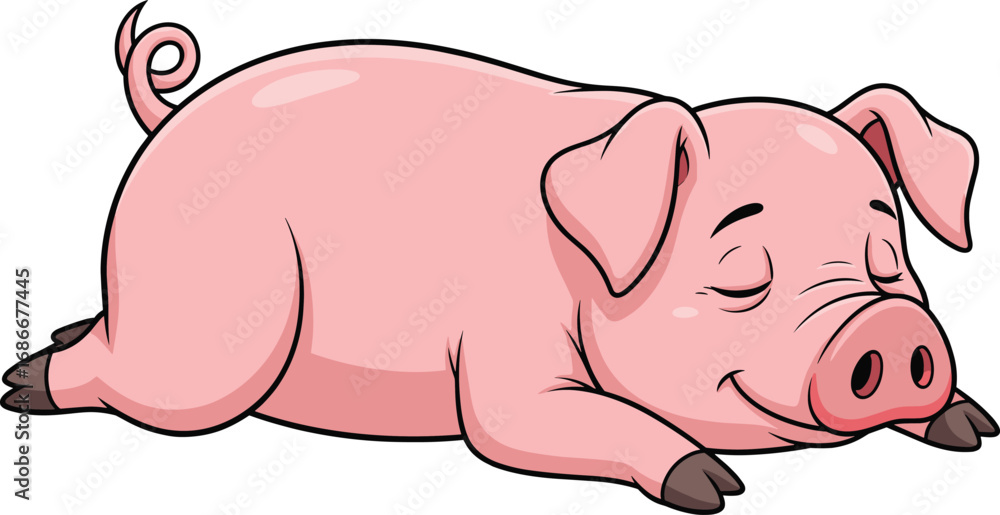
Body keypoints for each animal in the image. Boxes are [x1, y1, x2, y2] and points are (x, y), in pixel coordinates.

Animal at [3, 4, 995, 512]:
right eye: (742, 273)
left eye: (888, 257)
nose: (890, 327)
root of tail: (167, 116)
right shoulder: (504, 369)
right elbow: (516, 425)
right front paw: (713, 488)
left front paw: (971, 426)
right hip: (214, 332)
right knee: (144, 383)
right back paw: (26, 381)